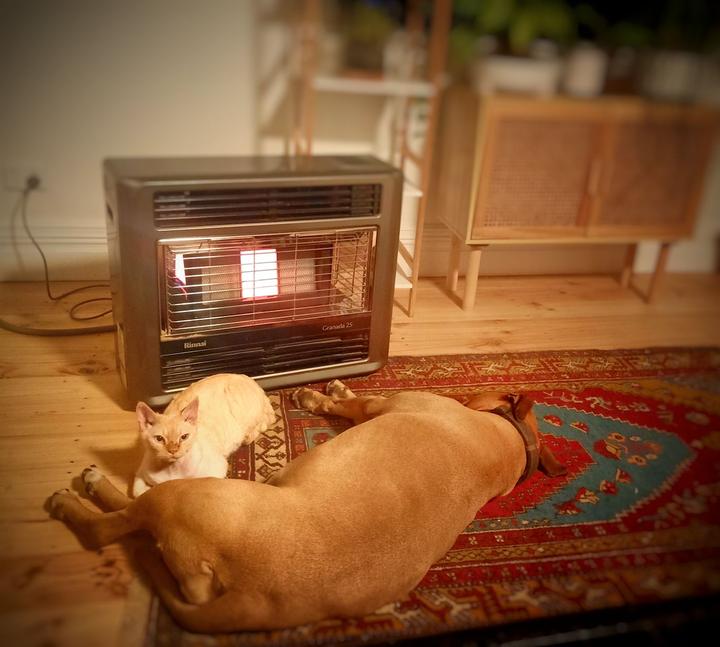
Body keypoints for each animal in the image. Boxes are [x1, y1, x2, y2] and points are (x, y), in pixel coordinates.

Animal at [133, 374, 276, 496]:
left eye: (184, 437)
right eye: (159, 439)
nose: (173, 450)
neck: (173, 469)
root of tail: (251, 380)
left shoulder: (217, 469)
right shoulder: (141, 473)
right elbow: (138, 492)